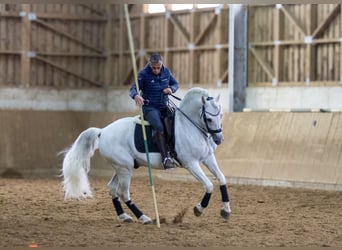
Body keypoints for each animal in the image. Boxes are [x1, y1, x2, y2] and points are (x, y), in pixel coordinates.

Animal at [61, 87, 232, 225]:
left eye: (221, 115)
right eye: (208, 118)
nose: (219, 139)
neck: (189, 125)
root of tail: (103, 131)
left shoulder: (208, 158)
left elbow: (222, 178)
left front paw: (226, 210)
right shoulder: (191, 163)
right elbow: (209, 185)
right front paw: (198, 209)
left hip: (122, 167)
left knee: (112, 189)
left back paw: (124, 216)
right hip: (125, 169)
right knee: (123, 192)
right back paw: (143, 218)